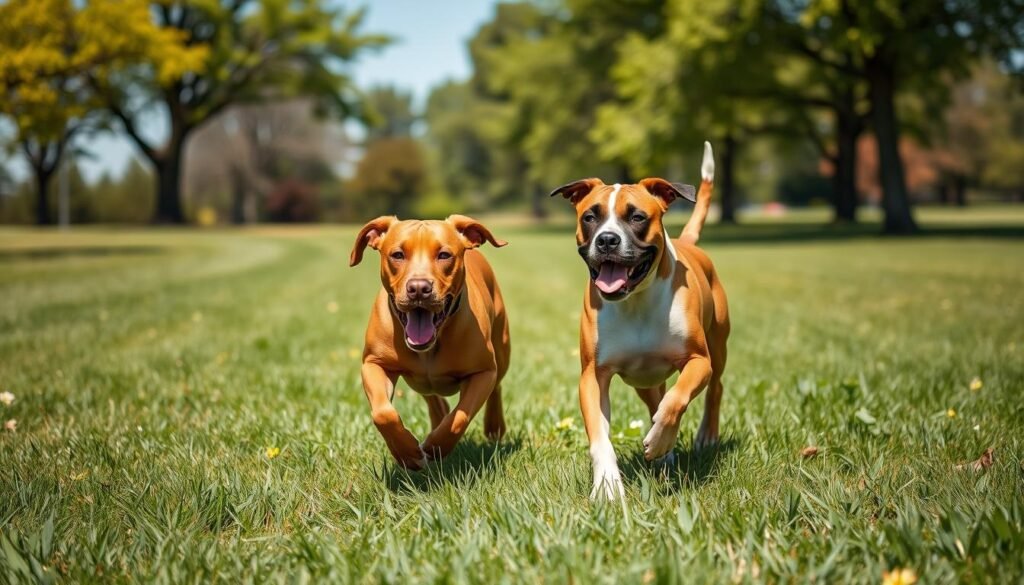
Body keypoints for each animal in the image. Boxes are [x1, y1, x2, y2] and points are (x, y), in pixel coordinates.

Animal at [350, 216, 512, 471]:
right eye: (397, 255)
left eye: (444, 255)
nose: (419, 288)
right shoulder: (374, 364)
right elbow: (383, 413)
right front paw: (407, 454)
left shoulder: (483, 373)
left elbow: (460, 417)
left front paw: (436, 447)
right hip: (418, 380)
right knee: (431, 396)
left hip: (502, 349)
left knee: (496, 386)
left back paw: (494, 426)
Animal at [552, 142, 729, 499]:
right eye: (590, 217)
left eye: (637, 217)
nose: (607, 239)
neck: (635, 301)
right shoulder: (593, 377)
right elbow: (600, 437)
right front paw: (607, 485)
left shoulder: (697, 360)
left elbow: (677, 398)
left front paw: (660, 440)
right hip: (644, 382)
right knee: (655, 400)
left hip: (717, 350)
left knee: (713, 388)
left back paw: (701, 436)